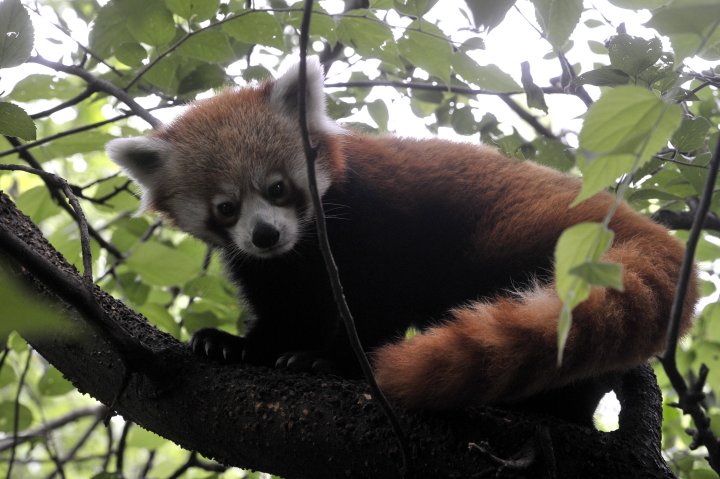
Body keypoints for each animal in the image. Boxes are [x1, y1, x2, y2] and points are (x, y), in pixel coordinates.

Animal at [107, 59, 696, 424]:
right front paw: (237, 345)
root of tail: (630, 219)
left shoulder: (380, 223)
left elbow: (377, 300)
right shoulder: (271, 266)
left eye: (277, 187)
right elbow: (285, 308)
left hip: (526, 239)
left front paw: (330, 362)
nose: (266, 233)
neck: (304, 246)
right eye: (225, 208)